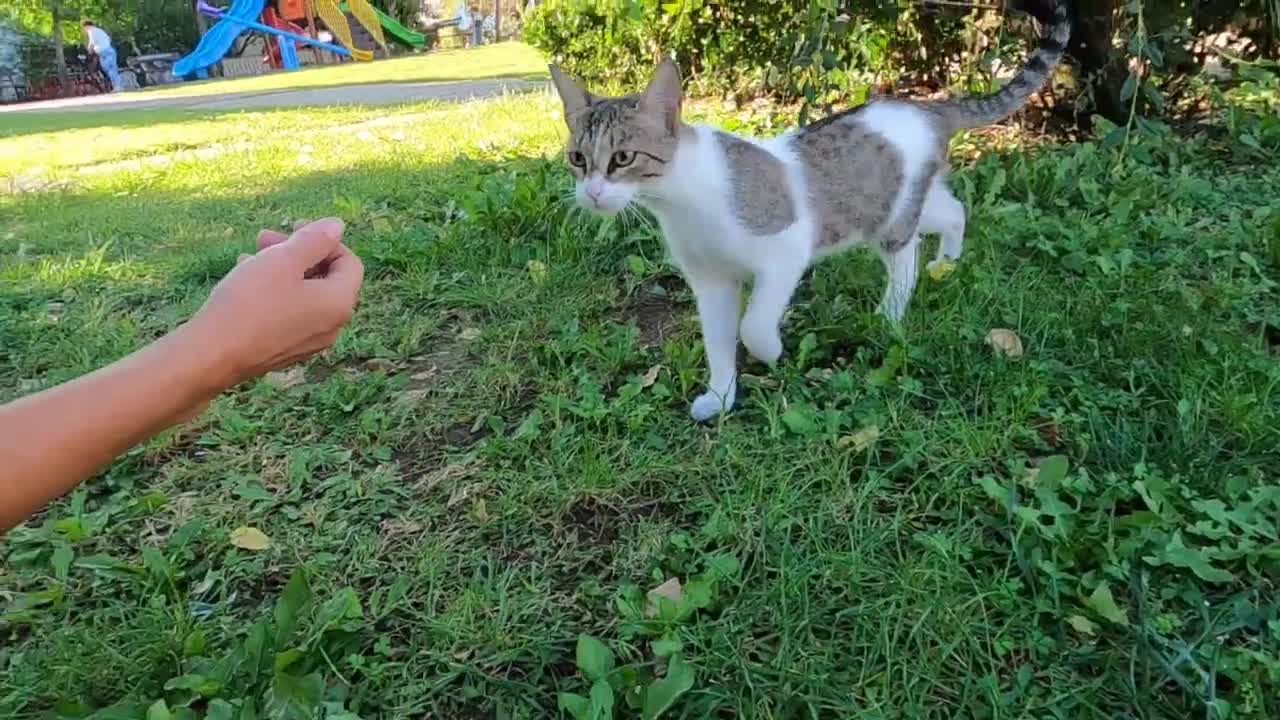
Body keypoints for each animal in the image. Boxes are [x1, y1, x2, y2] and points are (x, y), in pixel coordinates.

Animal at [550, 0, 1070, 420]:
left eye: (622, 158)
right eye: (577, 159)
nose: (591, 194)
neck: (683, 201)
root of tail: (928, 108)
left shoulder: (785, 250)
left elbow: (754, 325)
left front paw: (773, 351)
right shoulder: (710, 280)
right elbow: (718, 340)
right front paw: (720, 396)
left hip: (891, 222)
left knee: (905, 260)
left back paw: (890, 312)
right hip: (899, 200)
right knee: (953, 211)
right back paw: (948, 261)